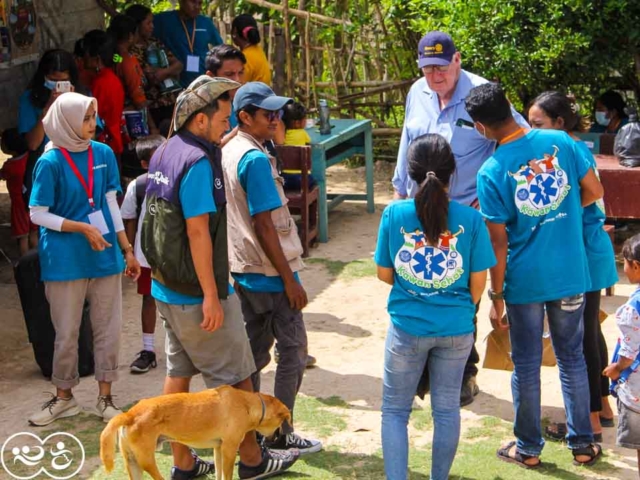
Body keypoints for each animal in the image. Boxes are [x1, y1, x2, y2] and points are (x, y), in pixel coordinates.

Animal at [101, 386, 292, 480]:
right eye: (281, 422)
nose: (277, 438)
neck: (247, 404)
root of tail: (129, 414)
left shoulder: (218, 449)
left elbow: (220, 474)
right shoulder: (229, 449)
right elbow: (228, 475)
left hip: (132, 462)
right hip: (146, 460)